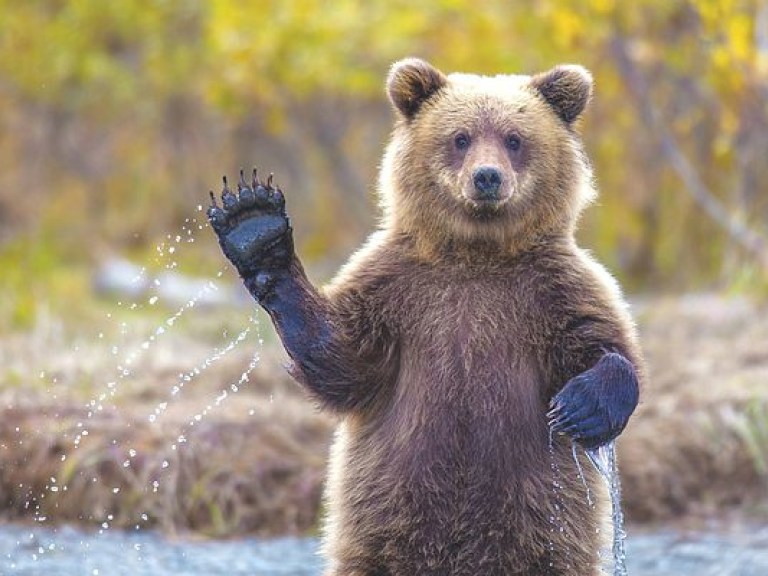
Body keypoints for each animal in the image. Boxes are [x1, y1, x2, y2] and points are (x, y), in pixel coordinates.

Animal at [207, 56, 644, 572]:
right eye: (461, 137)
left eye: (515, 138)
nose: (487, 177)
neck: (476, 254)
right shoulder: (398, 289)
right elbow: (343, 358)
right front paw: (255, 226)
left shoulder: (552, 289)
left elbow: (603, 342)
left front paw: (582, 408)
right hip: (386, 519)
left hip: (541, 524)